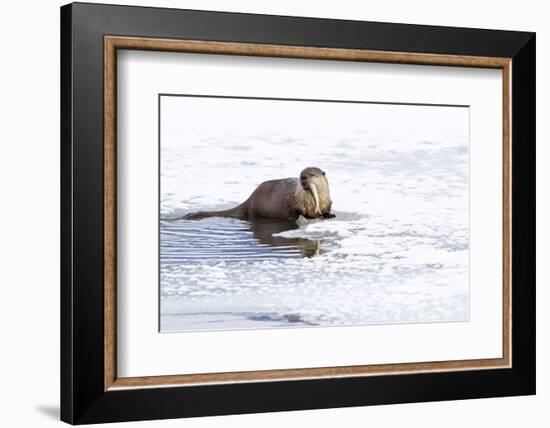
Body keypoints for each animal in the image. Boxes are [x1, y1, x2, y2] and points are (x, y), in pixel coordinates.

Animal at [184, 166, 336, 222]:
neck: (312, 202)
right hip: (255, 210)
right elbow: (295, 212)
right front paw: (306, 217)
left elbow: (327, 209)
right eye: (301, 173)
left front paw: (329, 215)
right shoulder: (295, 202)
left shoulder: (328, 201)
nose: (303, 177)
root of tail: (250, 198)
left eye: (312, 174)